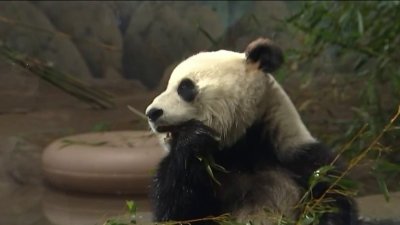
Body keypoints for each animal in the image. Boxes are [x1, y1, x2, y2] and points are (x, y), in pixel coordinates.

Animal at [145, 37, 360, 224]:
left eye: (185, 87)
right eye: (167, 86)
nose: (151, 113)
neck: (243, 148)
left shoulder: (302, 160)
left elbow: (333, 197)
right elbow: (177, 212)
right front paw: (192, 139)